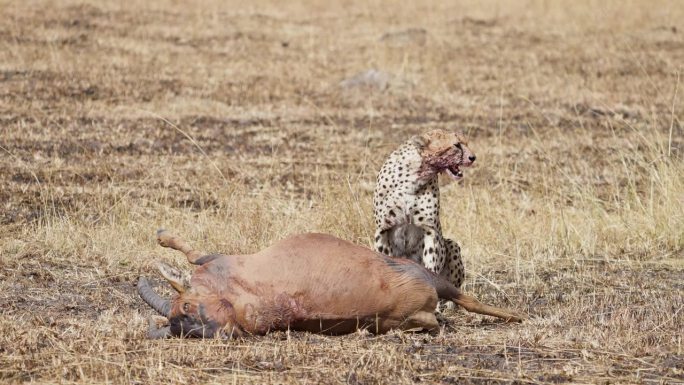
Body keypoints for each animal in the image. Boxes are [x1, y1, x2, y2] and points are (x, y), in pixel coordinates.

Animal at [374, 127, 476, 290]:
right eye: (456, 145)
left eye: (465, 143)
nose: (473, 157)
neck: (414, 176)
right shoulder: (383, 229)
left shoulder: (430, 230)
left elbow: (431, 264)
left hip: (452, 245)